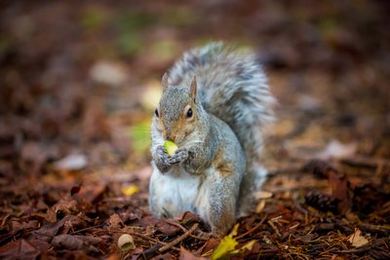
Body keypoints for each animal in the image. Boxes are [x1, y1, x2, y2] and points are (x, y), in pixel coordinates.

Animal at [149, 42, 274, 236]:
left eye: (189, 112)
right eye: (156, 111)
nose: (168, 136)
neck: (182, 141)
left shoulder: (210, 142)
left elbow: (199, 161)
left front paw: (185, 154)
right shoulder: (155, 140)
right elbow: (160, 164)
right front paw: (161, 154)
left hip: (218, 196)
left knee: (223, 226)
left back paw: (210, 234)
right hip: (159, 193)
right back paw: (163, 221)